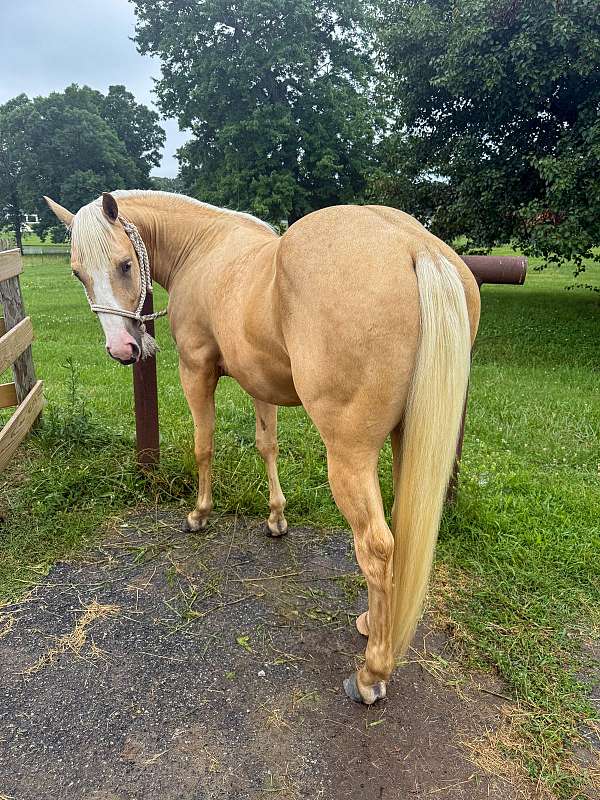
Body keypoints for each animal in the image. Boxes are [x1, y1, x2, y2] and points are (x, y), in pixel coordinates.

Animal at [44, 190, 480, 705]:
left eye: (125, 264)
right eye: (77, 272)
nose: (122, 349)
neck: (204, 247)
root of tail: (416, 247)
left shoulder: (196, 371)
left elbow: (204, 445)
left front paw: (200, 514)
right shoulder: (259, 383)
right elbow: (266, 445)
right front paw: (276, 518)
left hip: (349, 457)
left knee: (376, 546)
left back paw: (371, 673)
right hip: (405, 442)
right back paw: (374, 625)